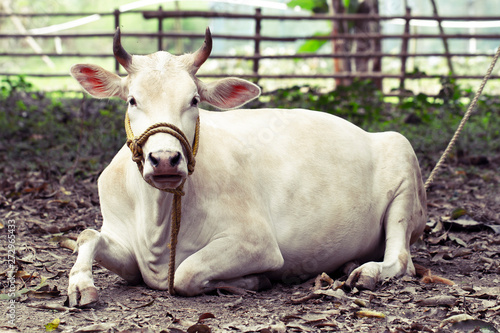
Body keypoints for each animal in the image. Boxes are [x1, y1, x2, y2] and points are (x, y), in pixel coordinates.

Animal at [67, 29, 426, 306]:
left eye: (194, 100)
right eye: (132, 100)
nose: (166, 159)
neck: (157, 220)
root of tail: (371, 134)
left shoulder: (256, 243)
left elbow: (186, 274)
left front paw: (252, 281)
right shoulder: (124, 246)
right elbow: (88, 235)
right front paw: (80, 285)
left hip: (404, 166)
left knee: (401, 258)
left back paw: (367, 271)